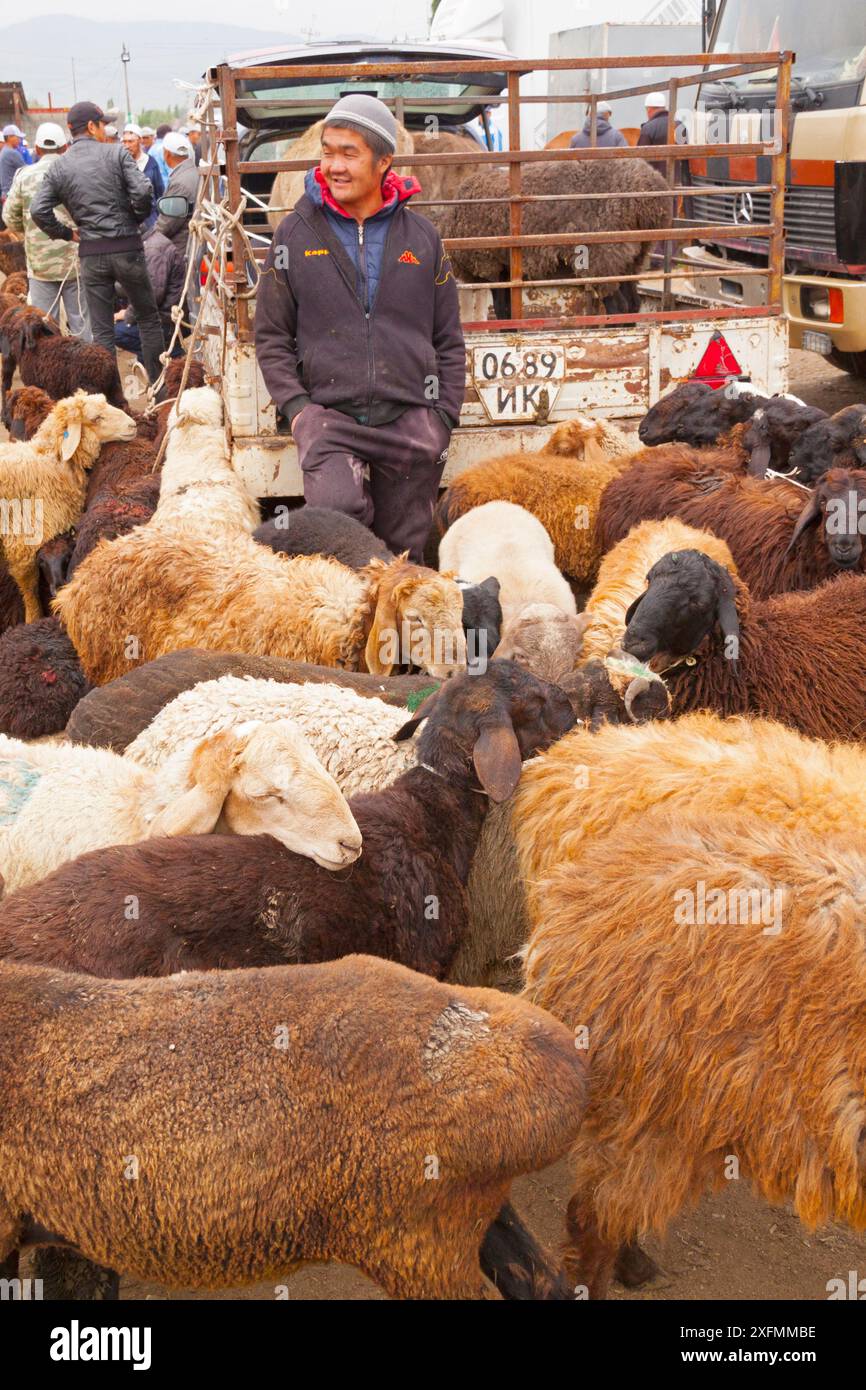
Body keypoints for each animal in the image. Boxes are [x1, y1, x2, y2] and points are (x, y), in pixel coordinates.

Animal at [0, 392, 136, 622]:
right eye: (96, 418)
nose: (133, 425)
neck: (50, 461)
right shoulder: (23, 544)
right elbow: (30, 588)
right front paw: (33, 618)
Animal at [442, 158, 671, 315]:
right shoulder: (506, 268)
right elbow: (508, 308)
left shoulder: (490, 264)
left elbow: (502, 309)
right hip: (629, 258)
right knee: (633, 303)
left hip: (603, 257)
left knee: (619, 306)